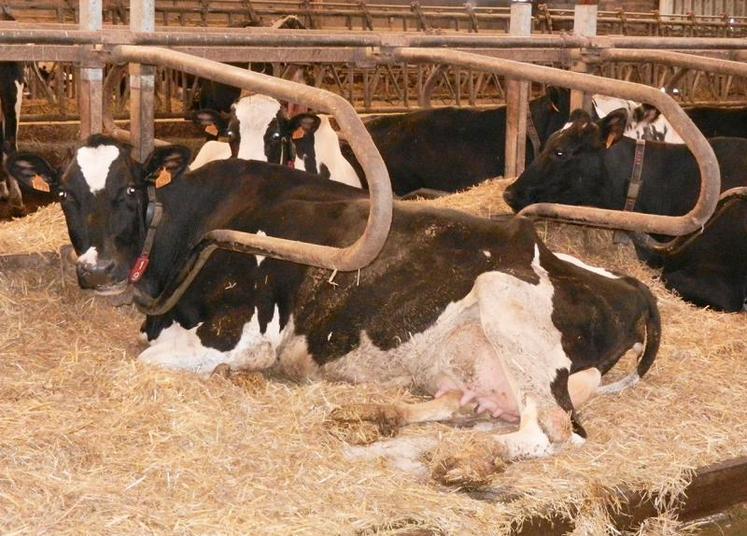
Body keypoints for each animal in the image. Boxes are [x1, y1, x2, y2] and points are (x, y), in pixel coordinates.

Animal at [7, 135, 660, 474]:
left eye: (130, 189)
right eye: (64, 195)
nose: (97, 271)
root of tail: (634, 287)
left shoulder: (243, 331)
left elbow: (153, 361)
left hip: (507, 300)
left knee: (548, 432)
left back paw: (438, 453)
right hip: (458, 364)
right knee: (464, 403)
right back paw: (379, 421)